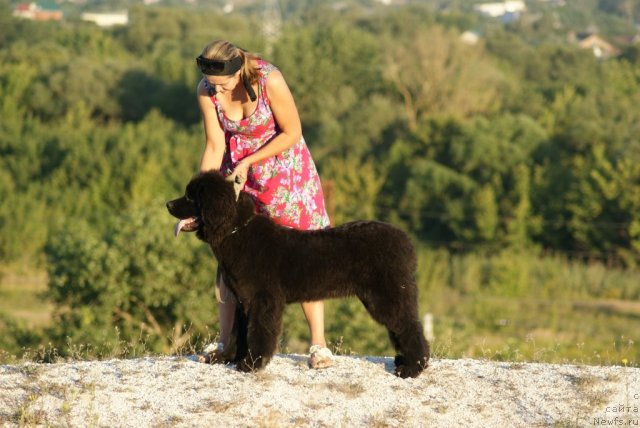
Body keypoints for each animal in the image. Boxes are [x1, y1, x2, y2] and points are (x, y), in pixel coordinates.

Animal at [168, 171, 430, 378]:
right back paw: (404, 361)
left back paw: (412, 368)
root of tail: (405, 242)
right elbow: (238, 331)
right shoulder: (242, 298)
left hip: (387, 295)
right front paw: (229, 358)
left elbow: (259, 332)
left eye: (191, 197)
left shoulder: (264, 300)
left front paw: (251, 364)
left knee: (410, 327)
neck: (236, 231)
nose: (168, 204)